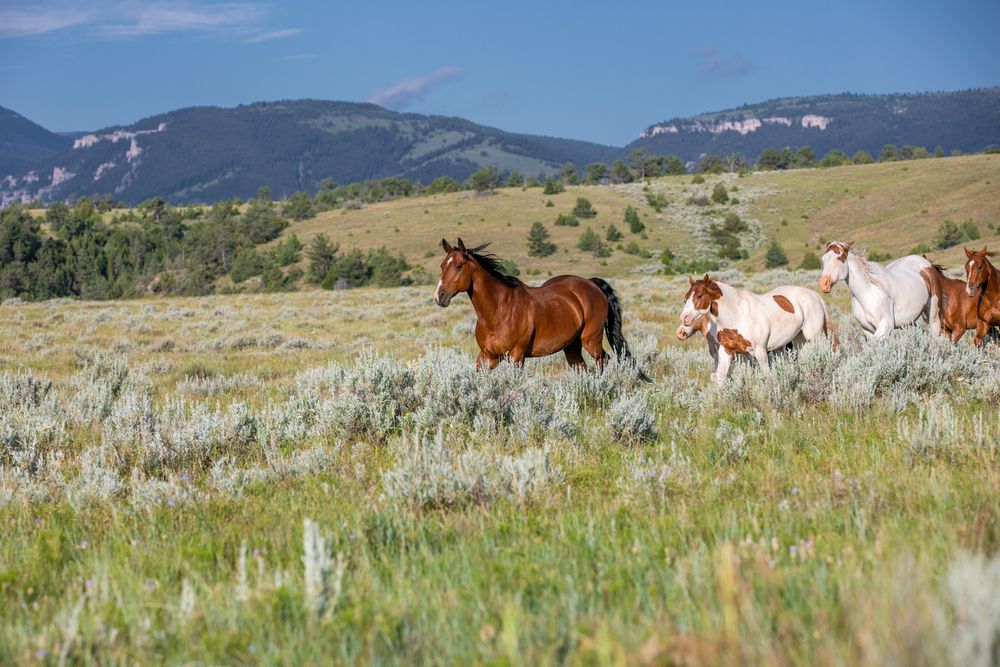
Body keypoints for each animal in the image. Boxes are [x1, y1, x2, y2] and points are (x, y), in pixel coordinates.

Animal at [434, 238, 648, 378]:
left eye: (459, 266)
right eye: (442, 265)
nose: (439, 296)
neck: (498, 311)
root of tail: (591, 284)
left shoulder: (516, 356)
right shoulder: (488, 356)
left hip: (591, 340)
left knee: (603, 360)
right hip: (572, 346)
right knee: (582, 368)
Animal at [679, 275, 836, 383]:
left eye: (699, 295)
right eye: (685, 298)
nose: (684, 318)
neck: (737, 315)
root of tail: (815, 296)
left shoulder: (760, 352)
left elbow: (768, 377)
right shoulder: (726, 351)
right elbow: (720, 378)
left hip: (813, 338)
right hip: (799, 340)